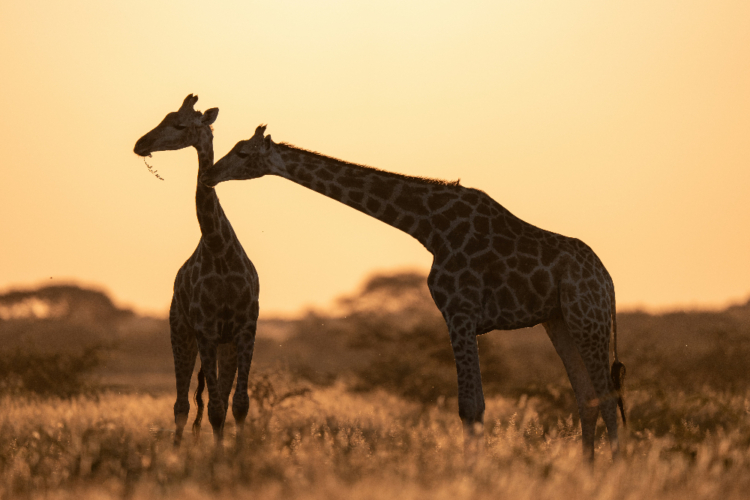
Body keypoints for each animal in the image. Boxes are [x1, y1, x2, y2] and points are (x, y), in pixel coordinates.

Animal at [133, 95, 260, 449]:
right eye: (165, 118)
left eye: (179, 124)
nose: (140, 144)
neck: (218, 248)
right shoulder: (205, 329)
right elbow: (214, 408)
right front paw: (216, 457)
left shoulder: (245, 328)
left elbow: (238, 403)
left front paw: (237, 454)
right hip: (180, 331)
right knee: (181, 404)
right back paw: (177, 453)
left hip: (223, 344)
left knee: (216, 401)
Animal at [201, 125, 626, 461]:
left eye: (242, 152)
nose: (211, 174)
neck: (428, 226)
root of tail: (608, 282)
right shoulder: (463, 315)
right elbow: (473, 406)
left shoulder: (459, 311)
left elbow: (471, 407)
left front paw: (474, 475)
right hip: (559, 320)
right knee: (587, 398)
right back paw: (587, 471)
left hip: (586, 316)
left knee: (608, 398)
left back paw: (615, 472)